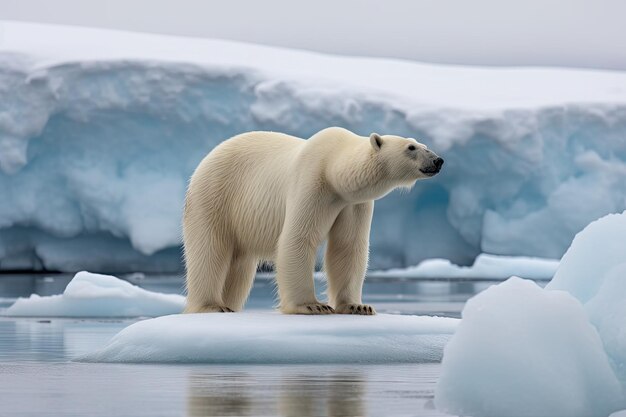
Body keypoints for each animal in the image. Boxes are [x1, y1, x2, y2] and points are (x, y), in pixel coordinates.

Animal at [183, 127, 442, 316]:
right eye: (411, 147)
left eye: (424, 145)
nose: (438, 160)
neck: (333, 167)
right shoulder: (312, 183)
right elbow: (298, 238)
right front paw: (312, 305)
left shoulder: (353, 204)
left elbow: (348, 247)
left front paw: (357, 306)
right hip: (215, 196)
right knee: (210, 250)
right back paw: (212, 305)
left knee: (240, 266)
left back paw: (230, 304)